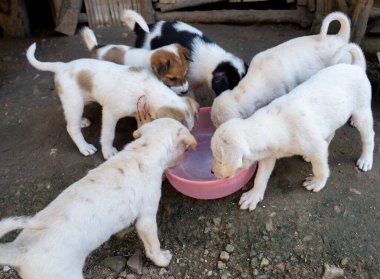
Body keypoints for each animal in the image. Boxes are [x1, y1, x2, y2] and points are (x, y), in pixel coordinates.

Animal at [26, 41, 199, 160]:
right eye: (173, 78)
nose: (187, 150)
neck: (147, 90)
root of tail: (62, 66)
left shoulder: (139, 113)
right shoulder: (110, 114)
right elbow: (108, 135)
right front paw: (108, 152)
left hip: (81, 100)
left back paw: (82, 121)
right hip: (74, 102)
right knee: (71, 127)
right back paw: (85, 147)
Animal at [211, 43, 374, 212]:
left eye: (220, 161)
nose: (211, 171)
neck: (274, 125)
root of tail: (356, 67)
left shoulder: (317, 148)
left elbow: (321, 169)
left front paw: (317, 182)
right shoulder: (268, 155)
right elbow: (260, 177)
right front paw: (254, 195)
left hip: (361, 114)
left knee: (369, 137)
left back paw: (366, 160)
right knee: (330, 134)